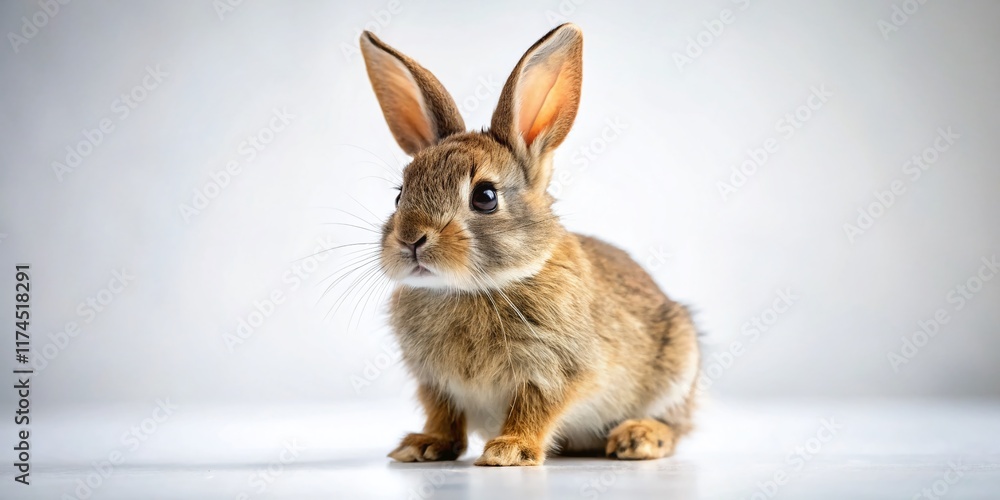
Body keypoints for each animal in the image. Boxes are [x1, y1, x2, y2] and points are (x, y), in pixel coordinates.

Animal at [359, 23, 701, 466]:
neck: (474, 289)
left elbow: (535, 408)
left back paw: (639, 438)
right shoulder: (435, 383)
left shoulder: (553, 368)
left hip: (678, 367)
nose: (410, 239)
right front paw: (423, 445)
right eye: (400, 196)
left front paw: (509, 450)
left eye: (485, 197)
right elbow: (443, 415)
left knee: (675, 426)